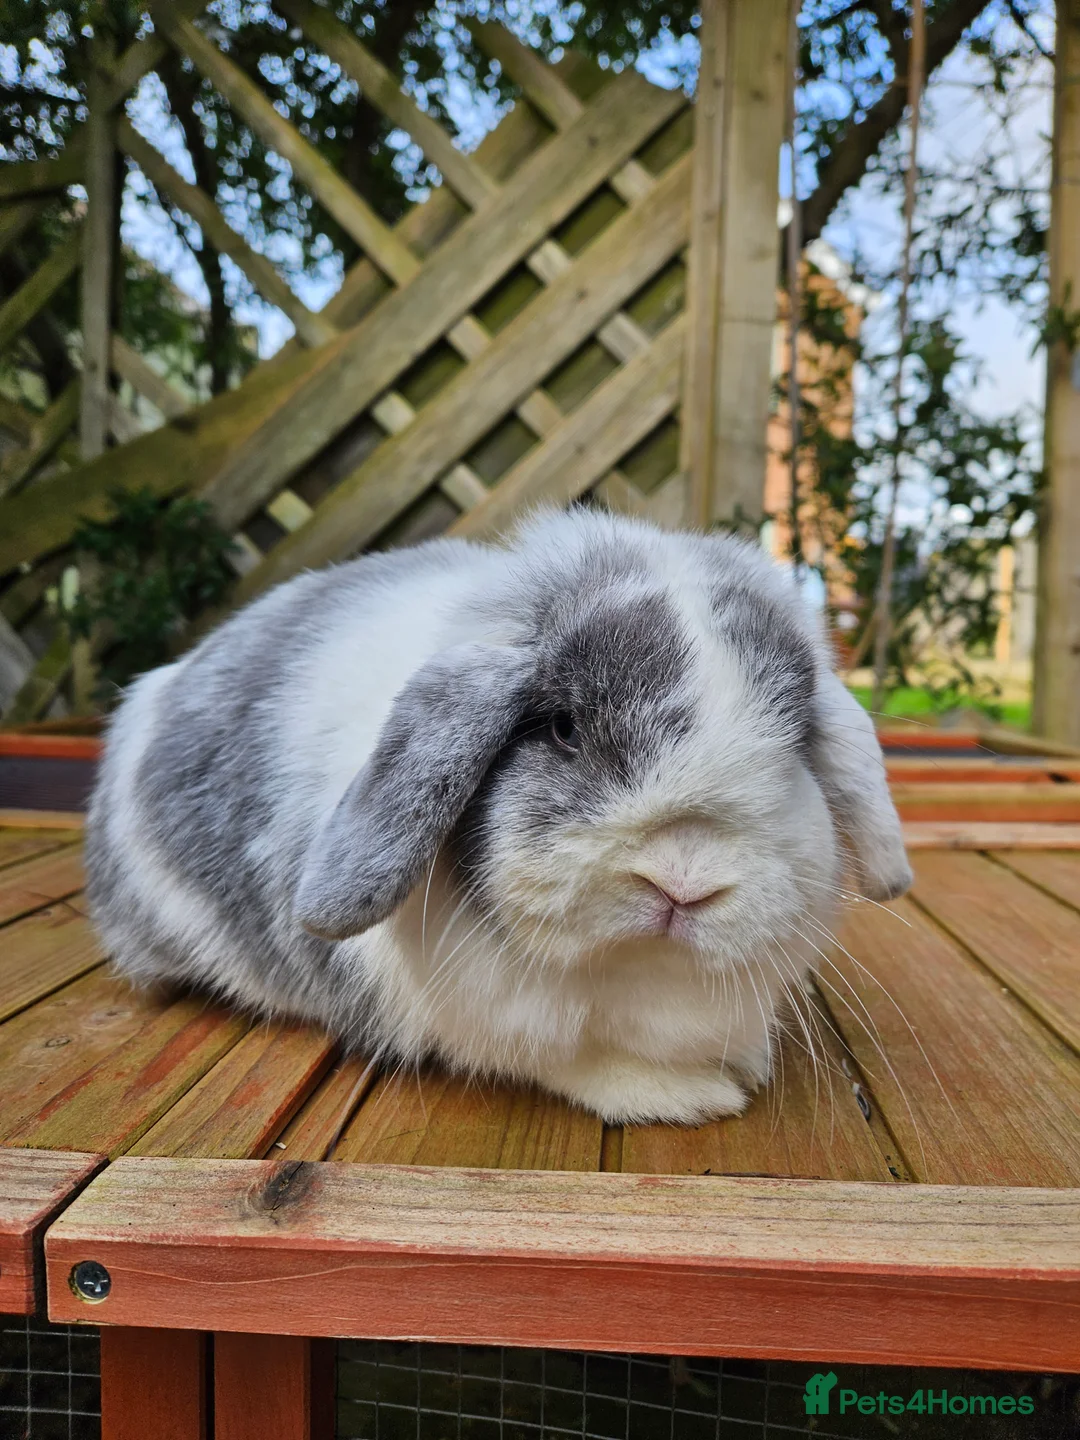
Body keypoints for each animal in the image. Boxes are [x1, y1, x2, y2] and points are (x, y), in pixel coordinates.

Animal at [85, 507, 912, 1125]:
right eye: (563, 728)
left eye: (795, 742)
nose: (682, 882)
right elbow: (576, 1061)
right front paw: (692, 1095)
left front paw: (746, 1061)